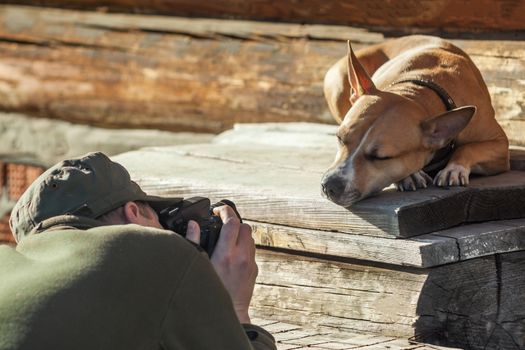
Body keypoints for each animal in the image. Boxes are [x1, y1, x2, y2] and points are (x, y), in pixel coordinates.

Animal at [320, 34, 508, 206]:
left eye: (381, 158)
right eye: (340, 138)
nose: (329, 186)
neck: (419, 90)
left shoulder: (500, 144)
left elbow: (468, 148)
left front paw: (454, 168)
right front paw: (410, 175)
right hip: (337, 79)